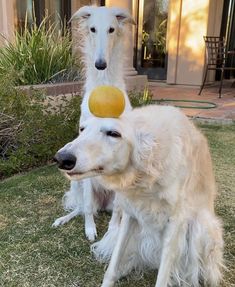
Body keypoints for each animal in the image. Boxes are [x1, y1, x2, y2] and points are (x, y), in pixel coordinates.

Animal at [52, 5, 135, 242]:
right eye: (92, 29)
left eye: (111, 29)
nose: (100, 64)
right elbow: (88, 207)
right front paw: (90, 230)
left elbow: (117, 212)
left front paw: (112, 231)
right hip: (76, 182)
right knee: (81, 207)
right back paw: (63, 219)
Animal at [54, 106, 224, 287]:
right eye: (82, 129)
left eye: (114, 133)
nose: (61, 159)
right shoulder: (131, 214)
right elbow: (112, 268)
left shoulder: (175, 223)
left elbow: (162, 278)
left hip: (202, 229)